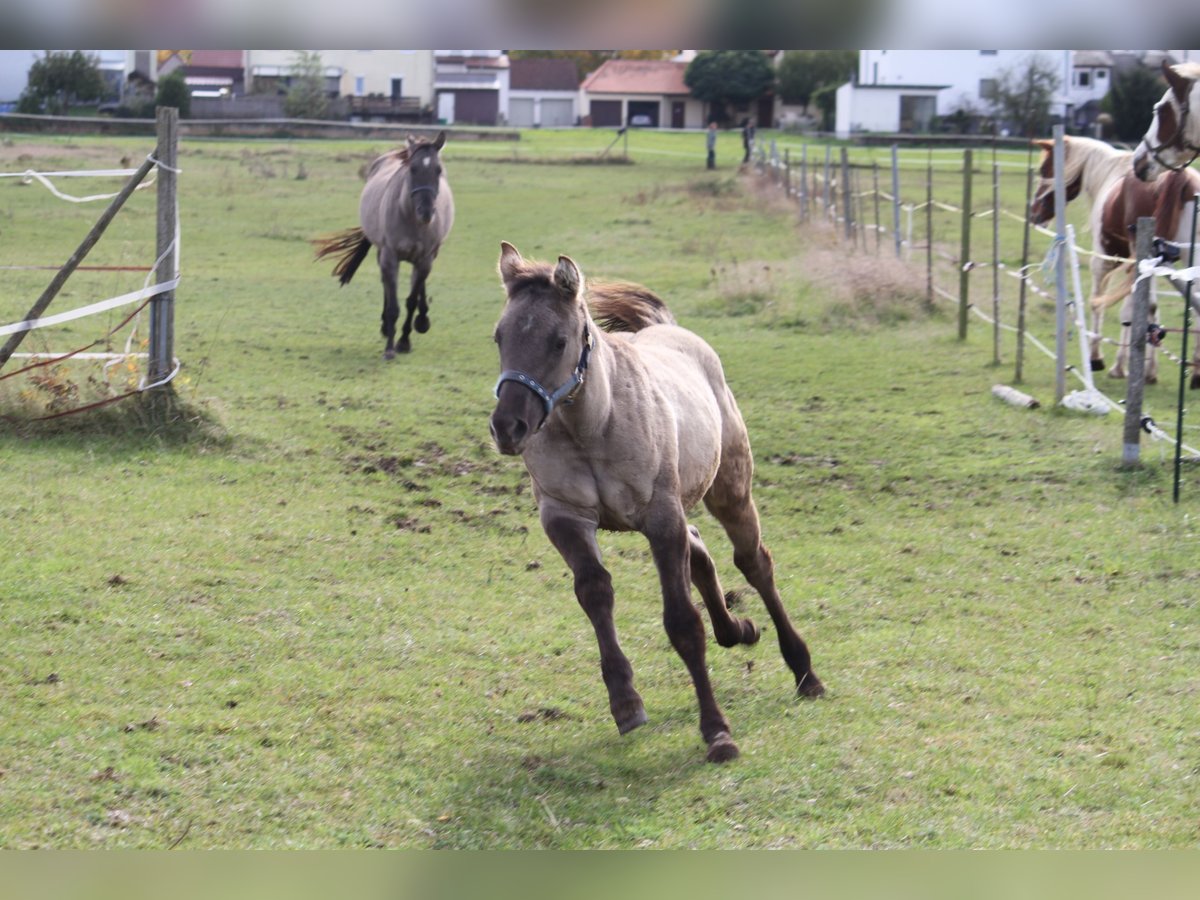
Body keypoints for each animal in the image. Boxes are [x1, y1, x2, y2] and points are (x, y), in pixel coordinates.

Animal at [314, 132, 453, 357]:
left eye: (438, 170)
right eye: (412, 169)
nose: (426, 212)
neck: (411, 219)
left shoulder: (425, 258)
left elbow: (411, 300)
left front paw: (404, 341)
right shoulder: (390, 257)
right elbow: (393, 306)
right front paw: (390, 347)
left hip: (429, 255)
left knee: (417, 284)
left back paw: (422, 321)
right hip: (383, 253)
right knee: (386, 284)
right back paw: (387, 325)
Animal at [489, 243, 825, 763]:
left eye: (559, 341)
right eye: (499, 337)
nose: (508, 428)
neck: (594, 425)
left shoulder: (660, 518)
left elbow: (683, 623)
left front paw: (718, 733)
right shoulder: (565, 518)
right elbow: (595, 593)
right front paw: (626, 703)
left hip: (729, 490)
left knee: (753, 562)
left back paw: (804, 671)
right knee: (701, 550)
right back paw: (738, 630)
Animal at [1032, 136, 1200, 384]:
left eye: (1044, 169)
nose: (1034, 213)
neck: (1108, 174)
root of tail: (1181, 179)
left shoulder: (1105, 259)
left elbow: (1100, 303)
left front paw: (1099, 359)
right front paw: (1148, 370)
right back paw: (1193, 373)